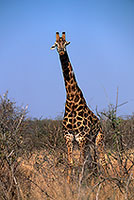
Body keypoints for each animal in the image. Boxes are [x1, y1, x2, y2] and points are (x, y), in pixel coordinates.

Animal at [50, 31, 106, 183]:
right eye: (56, 44)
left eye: (65, 43)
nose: (61, 51)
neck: (72, 100)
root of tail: (100, 122)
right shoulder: (69, 137)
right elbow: (71, 162)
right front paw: (70, 183)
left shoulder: (81, 137)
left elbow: (81, 163)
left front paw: (80, 184)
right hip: (89, 143)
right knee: (93, 161)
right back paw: (94, 179)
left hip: (97, 139)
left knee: (101, 160)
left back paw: (103, 180)